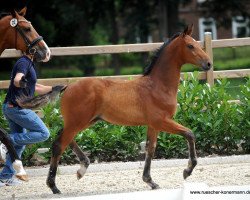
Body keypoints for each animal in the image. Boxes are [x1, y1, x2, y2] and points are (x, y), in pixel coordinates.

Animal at [18, 24, 212, 193]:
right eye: (190, 46)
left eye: (197, 43)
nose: (209, 64)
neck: (157, 85)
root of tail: (68, 87)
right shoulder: (162, 121)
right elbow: (190, 134)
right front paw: (187, 170)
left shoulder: (153, 125)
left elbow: (150, 149)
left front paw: (150, 181)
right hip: (78, 122)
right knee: (59, 144)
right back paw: (54, 186)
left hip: (85, 121)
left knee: (63, 138)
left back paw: (82, 168)